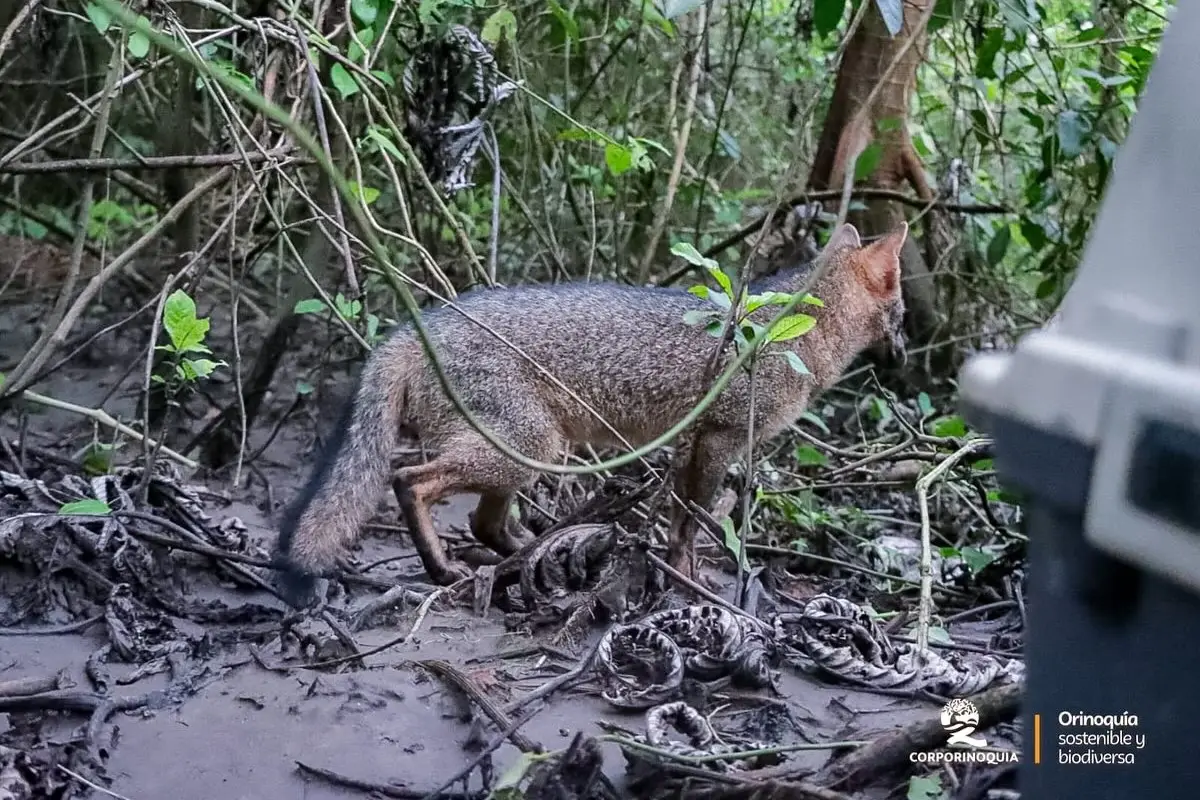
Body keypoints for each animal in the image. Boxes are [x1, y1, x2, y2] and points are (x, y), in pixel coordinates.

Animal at [272, 221, 909, 607]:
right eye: (902, 313)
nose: (904, 354)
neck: (790, 331)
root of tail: (417, 324)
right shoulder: (719, 439)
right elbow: (693, 523)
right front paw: (689, 580)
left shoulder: (689, 442)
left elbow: (680, 516)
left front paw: (675, 571)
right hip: (522, 450)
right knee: (409, 480)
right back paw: (443, 568)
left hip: (529, 454)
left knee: (483, 522)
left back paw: (533, 551)